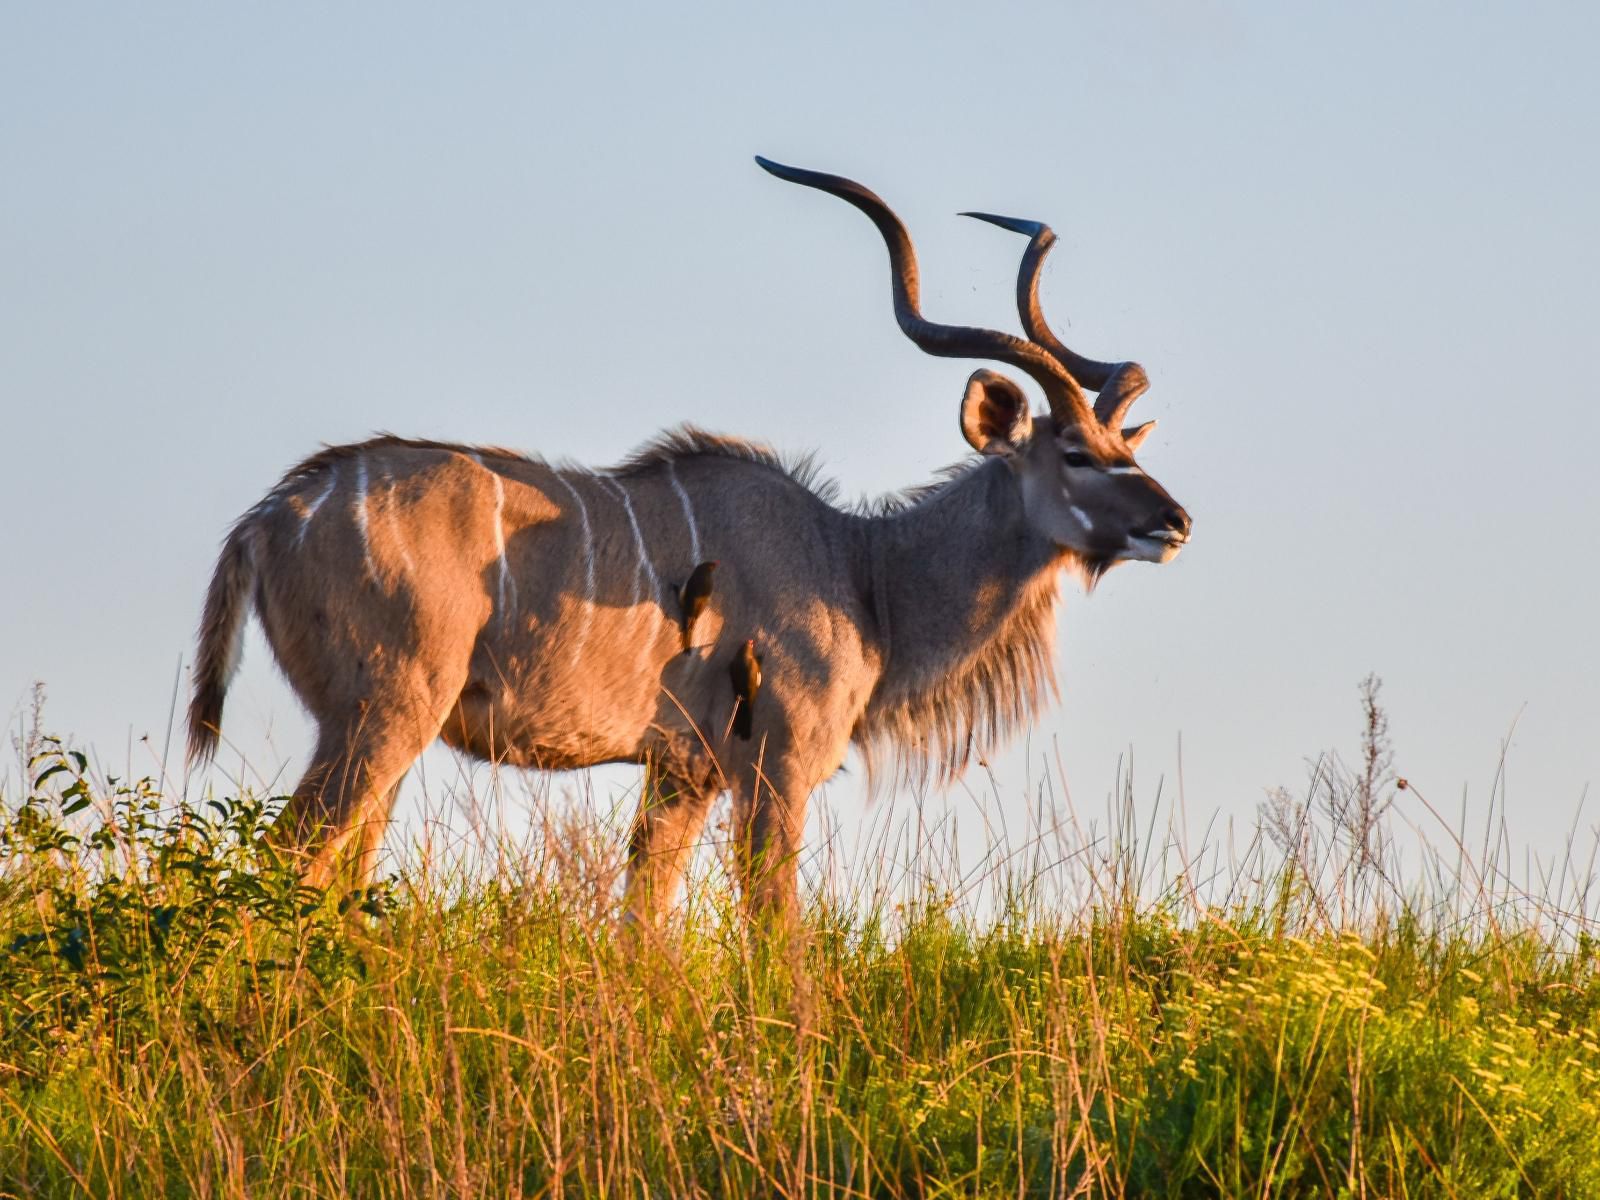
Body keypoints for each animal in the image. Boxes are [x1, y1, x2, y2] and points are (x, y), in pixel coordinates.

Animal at [187, 160, 1190, 928]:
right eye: (1075, 453)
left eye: (1126, 447)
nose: (1175, 523)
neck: (861, 572)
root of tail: (270, 516)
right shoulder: (776, 767)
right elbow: (772, 927)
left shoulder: (681, 775)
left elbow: (646, 921)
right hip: (382, 715)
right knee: (289, 859)